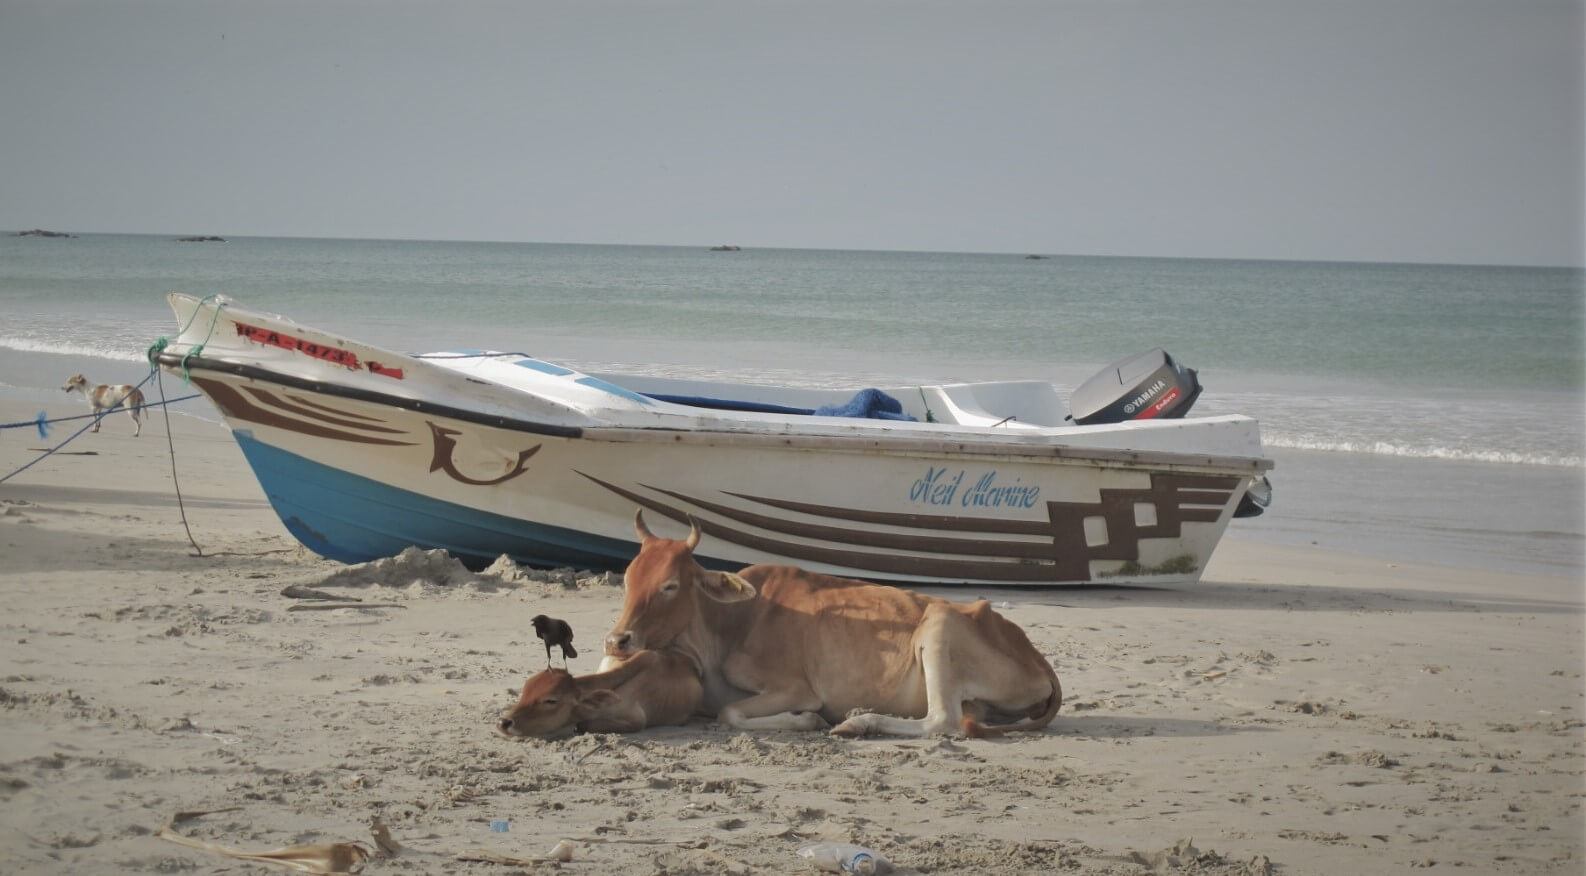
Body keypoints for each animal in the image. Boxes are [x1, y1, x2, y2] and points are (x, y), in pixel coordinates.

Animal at [605, 511, 1065, 736]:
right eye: (627, 578)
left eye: (670, 585)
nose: (616, 641)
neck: (728, 625)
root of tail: (1035, 656)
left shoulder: (795, 688)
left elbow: (730, 713)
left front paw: (806, 722)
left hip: (940, 624)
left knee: (943, 721)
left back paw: (859, 723)